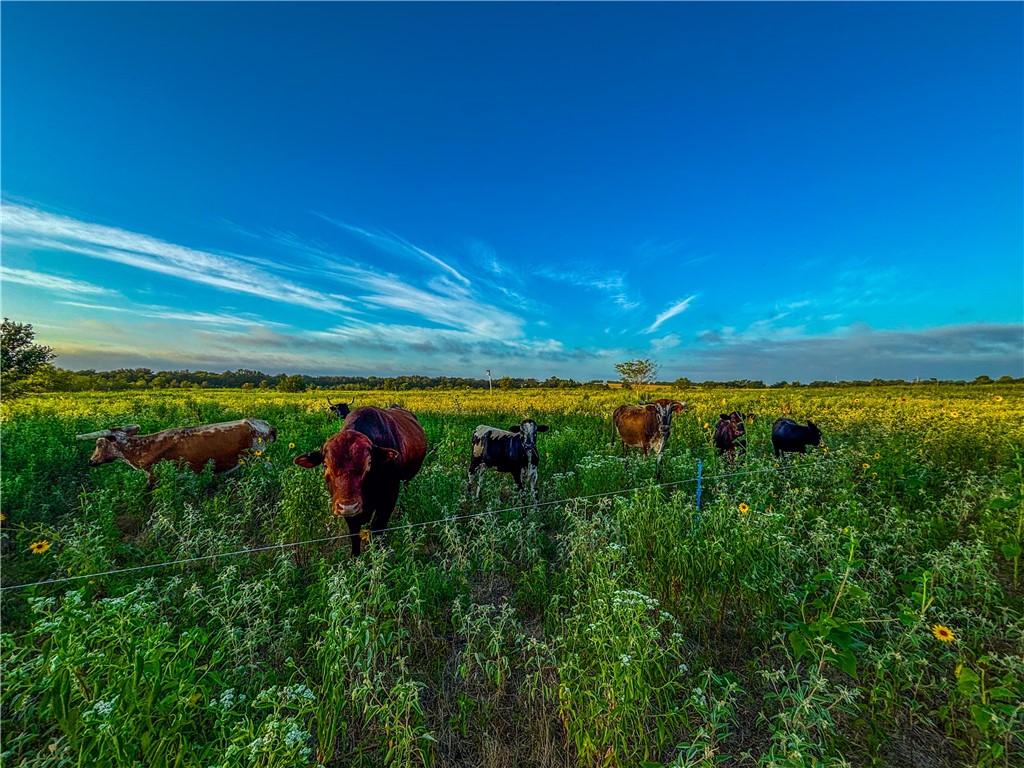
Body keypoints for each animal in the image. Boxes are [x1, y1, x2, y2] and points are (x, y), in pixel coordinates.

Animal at [294, 405, 425, 557]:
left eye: (369, 463)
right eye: (325, 465)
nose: (349, 506)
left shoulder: (389, 499)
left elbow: (378, 529)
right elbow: (354, 533)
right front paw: (355, 558)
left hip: (405, 481)